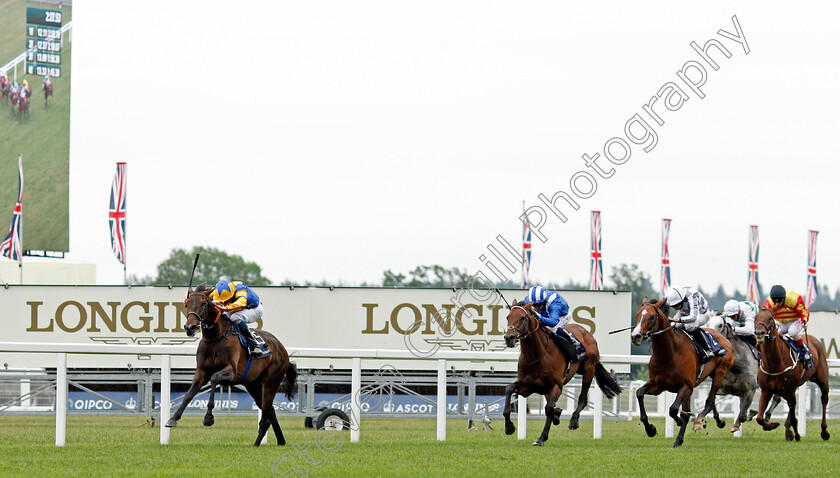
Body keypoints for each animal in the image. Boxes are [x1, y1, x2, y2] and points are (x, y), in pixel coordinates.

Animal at [162, 284, 296, 444]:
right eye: (187, 304)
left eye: (203, 304)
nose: (190, 327)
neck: (215, 338)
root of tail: (282, 349)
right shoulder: (201, 372)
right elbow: (189, 394)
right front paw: (173, 419)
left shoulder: (231, 372)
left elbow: (214, 378)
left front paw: (208, 418)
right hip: (253, 385)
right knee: (270, 412)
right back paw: (280, 441)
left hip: (271, 382)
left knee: (265, 417)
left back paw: (257, 444)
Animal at [498, 300, 624, 446]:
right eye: (508, 317)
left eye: (522, 318)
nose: (509, 338)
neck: (537, 356)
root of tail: (585, 332)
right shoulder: (526, 387)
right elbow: (509, 389)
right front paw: (509, 427)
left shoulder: (556, 386)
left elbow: (548, 409)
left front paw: (545, 433)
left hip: (589, 369)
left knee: (582, 398)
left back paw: (573, 420)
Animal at [632, 298, 736, 448]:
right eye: (637, 315)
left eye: (651, 317)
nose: (635, 336)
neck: (669, 353)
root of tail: (722, 337)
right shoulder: (657, 386)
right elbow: (639, 393)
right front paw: (650, 429)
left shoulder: (686, 386)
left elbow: (674, 410)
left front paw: (679, 422)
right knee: (710, 402)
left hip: (720, 373)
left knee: (709, 401)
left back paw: (698, 422)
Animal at [752, 308, 832, 442]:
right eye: (756, 317)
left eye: (770, 318)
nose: (760, 333)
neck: (775, 362)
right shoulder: (766, 390)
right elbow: (759, 418)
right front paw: (772, 425)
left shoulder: (788, 389)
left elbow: (794, 415)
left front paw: (796, 434)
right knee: (791, 405)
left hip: (822, 379)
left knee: (824, 399)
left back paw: (824, 431)